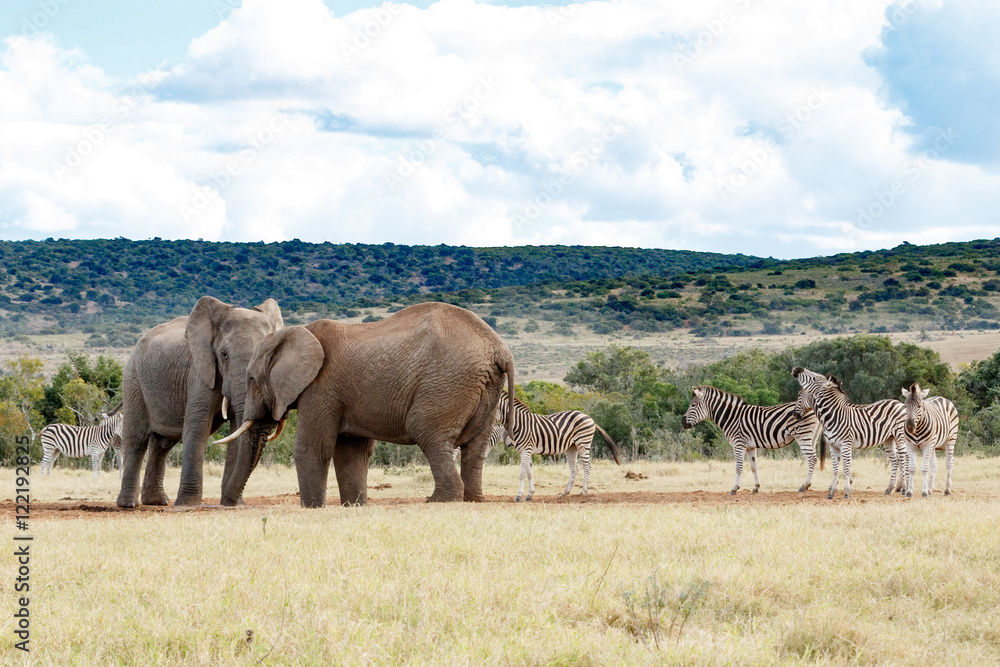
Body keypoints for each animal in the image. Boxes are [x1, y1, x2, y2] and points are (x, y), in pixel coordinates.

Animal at [116, 296, 283, 508]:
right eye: (224, 355)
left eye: (269, 357)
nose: (231, 501)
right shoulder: (199, 371)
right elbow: (198, 429)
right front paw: (187, 504)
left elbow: (236, 432)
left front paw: (233, 504)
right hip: (133, 379)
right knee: (136, 440)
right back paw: (128, 504)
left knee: (162, 444)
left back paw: (157, 501)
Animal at [218, 302, 515, 507]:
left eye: (251, 379)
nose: (231, 505)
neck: (295, 333)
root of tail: (499, 349)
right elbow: (351, 452)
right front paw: (354, 506)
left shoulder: (321, 386)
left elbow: (313, 447)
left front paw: (312, 508)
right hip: (485, 387)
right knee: (476, 446)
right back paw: (472, 499)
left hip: (445, 382)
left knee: (429, 434)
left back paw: (439, 501)